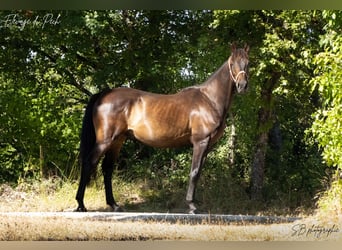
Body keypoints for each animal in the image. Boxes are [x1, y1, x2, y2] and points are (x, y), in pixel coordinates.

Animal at [76, 44, 250, 214]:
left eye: (248, 63)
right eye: (232, 63)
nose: (242, 86)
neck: (209, 100)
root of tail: (104, 94)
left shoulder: (207, 146)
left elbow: (198, 172)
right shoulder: (200, 142)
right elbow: (194, 172)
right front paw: (192, 206)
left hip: (117, 141)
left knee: (107, 168)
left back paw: (114, 205)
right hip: (105, 140)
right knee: (89, 162)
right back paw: (81, 205)